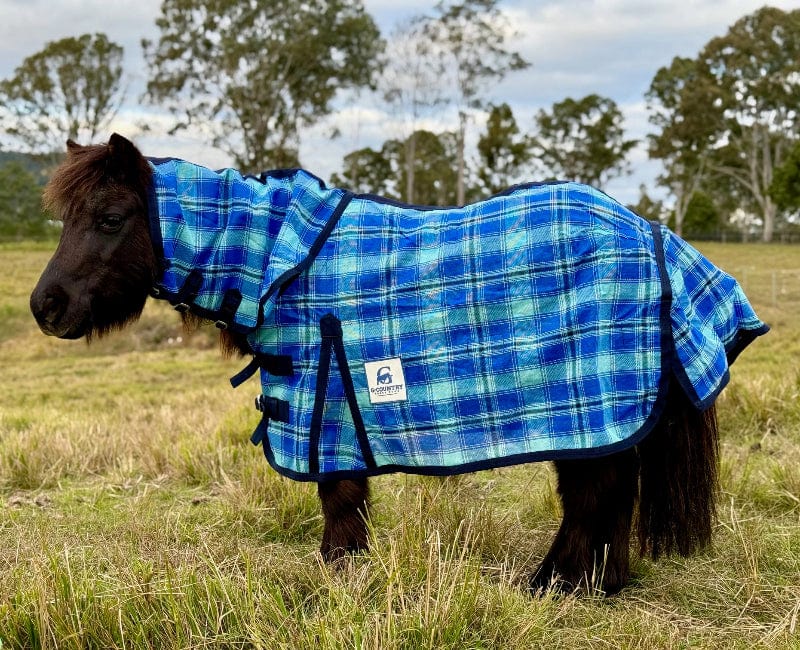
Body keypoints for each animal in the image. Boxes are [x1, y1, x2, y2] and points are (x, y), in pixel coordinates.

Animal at [30, 134, 767, 595]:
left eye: (110, 216)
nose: (45, 306)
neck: (278, 260)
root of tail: (654, 233)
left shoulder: (325, 413)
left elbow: (339, 502)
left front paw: (338, 575)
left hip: (593, 409)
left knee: (594, 496)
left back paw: (557, 586)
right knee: (603, 498)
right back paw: (589, 584)